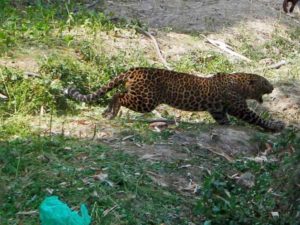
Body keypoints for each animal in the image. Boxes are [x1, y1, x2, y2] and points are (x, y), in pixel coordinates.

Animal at [64, 68, 284, 132]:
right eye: (265, 82)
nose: (273, 87)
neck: (240, 83)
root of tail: (134, 69)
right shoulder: (239, 107)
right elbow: (257, 118)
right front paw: (276, 126)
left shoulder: (217, 109)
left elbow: (223, 120)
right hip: (146, 100)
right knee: (118, 95)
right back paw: (111, 112)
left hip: (140, 96)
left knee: (117, 94)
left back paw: (108, 112)